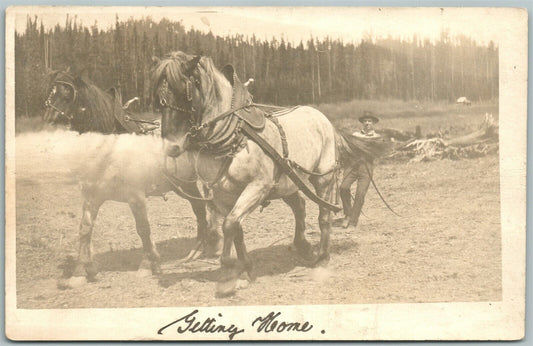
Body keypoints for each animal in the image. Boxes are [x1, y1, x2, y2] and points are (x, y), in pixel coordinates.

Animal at [43, 67, 220, 290]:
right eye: (50, 93)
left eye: (67, 95)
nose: (48, 125)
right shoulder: (92, 195)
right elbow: (84, 229)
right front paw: (80, 271)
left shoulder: (136, 196)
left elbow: (143, 228)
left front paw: (148, 264)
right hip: (183, 184)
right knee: (200, 209)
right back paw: (198, 249)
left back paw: (213, 246)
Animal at [153, 51, 344, 294]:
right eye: (158, 98)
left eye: (184, 92)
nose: (171, 147)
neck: (233, 135)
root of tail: (320, 115)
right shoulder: (222, 194)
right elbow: (235, 227)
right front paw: (244, 268)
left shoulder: (257, 187)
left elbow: (230, 224)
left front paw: (228, 270)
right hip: (286, 181)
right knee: (299, 206)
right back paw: (303, 247)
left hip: (324, 177)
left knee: (324, 215)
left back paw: (322, 257)